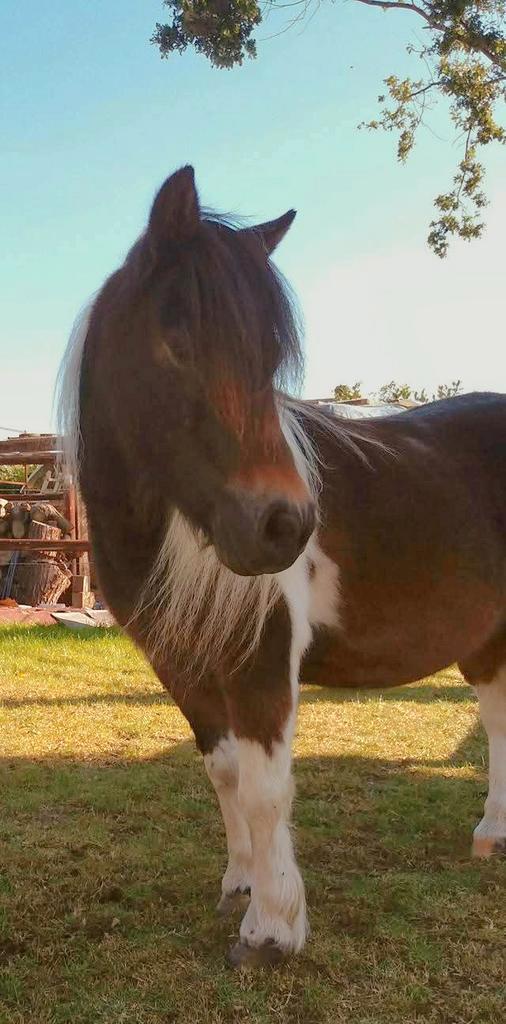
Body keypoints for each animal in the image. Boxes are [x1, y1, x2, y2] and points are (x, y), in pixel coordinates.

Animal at [58, 166, 506, 968]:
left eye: (270, 358)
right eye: (176, 338)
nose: (287, 526)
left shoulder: (260, 660)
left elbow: (268, 791)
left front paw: (271, 928)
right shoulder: (183, 666)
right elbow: (227, 773)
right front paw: (240, 882)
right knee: (497, 716)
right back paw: (491, 834)